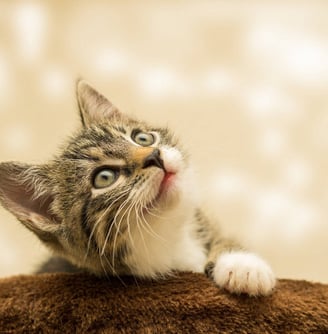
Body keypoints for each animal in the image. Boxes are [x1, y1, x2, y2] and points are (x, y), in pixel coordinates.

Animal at [0, 81, 276, 294]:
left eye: (142, 137)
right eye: (104, 177)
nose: (155, 156)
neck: (170, 239)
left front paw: (242, 264)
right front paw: (242, 268)